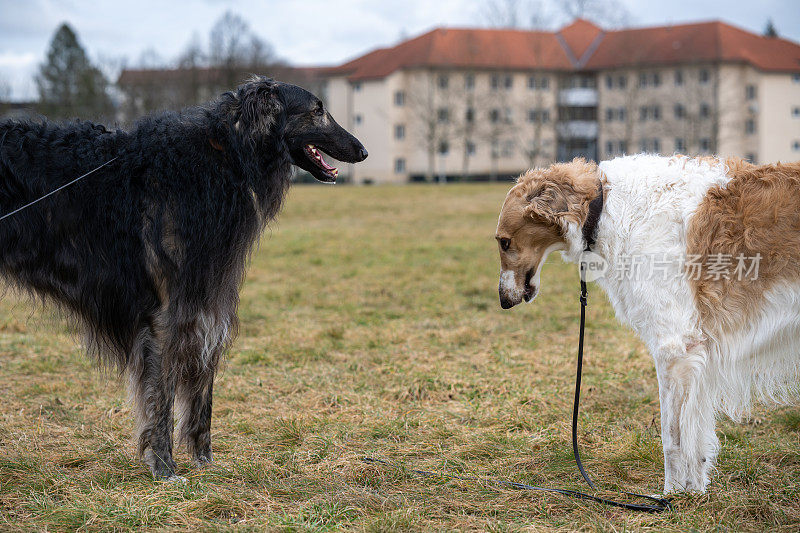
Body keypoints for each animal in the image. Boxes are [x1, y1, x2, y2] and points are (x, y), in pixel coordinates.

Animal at [0, 76, 368, 478]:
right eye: (317, 110)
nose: (363, 151)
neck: (224, 156)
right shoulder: (166, 314)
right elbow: (161, 397)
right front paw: (164, 467)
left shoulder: (207, 301)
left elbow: (202, 392)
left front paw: (206, 464)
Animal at [496, 153, 800, 490]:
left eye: (504, 242)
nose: (503, 301)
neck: (605, 207)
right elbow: (694, 442)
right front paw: (694, 491)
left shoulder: (674, 349)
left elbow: (672, 439)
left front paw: (671, 495)